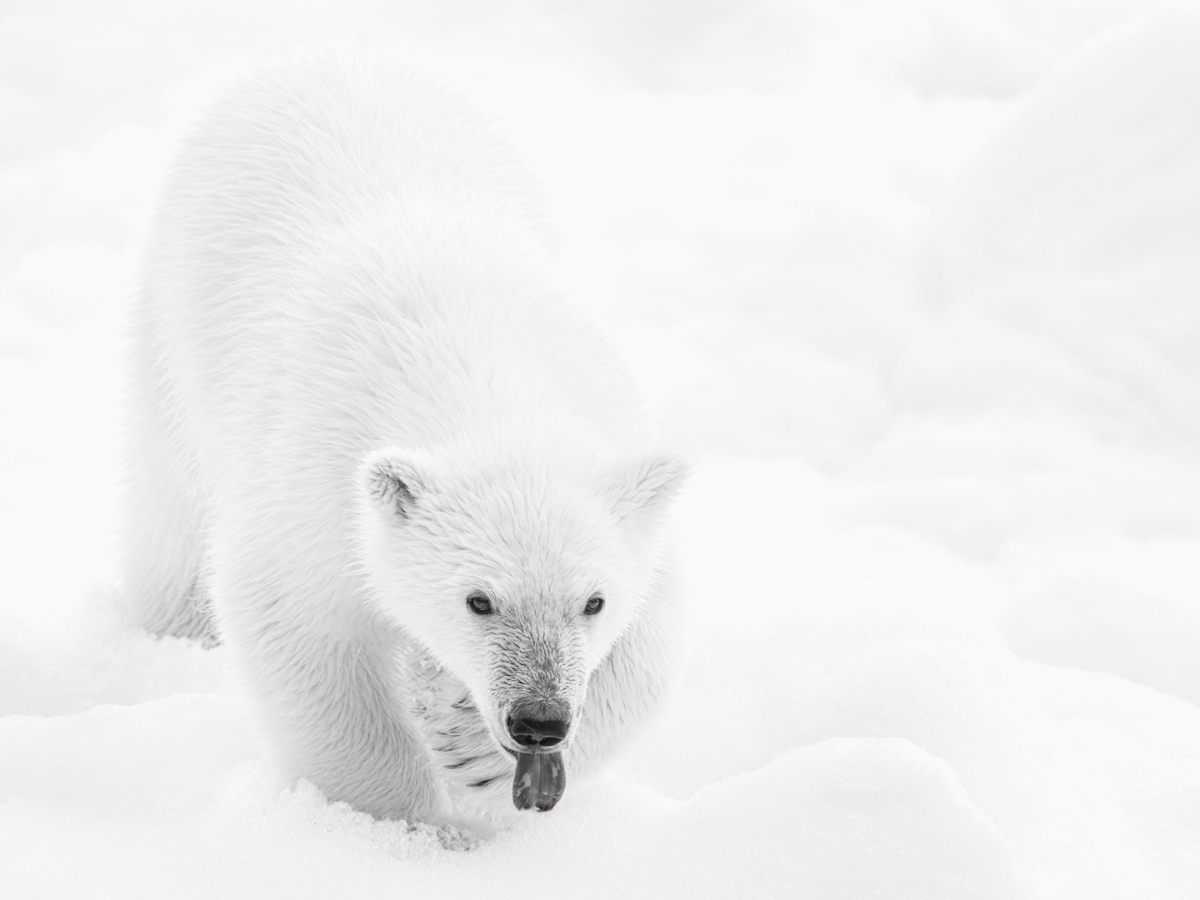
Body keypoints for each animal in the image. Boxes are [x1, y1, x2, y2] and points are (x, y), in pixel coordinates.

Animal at [119, 54, 688, 827]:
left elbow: (647, 644)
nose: (539, 721)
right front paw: (406, 824)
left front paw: (475, 759)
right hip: (172, 326)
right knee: (171, 510)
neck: (480, 378)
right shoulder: (315, 480)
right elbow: (294, 619)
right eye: (478, 600)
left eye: (593, 601)